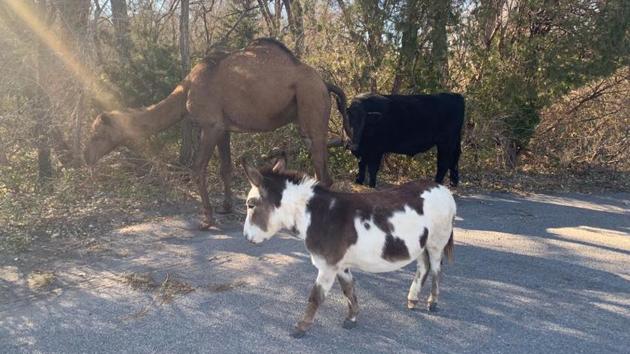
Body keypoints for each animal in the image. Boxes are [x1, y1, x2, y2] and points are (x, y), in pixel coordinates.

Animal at [82, 38, 350, 227]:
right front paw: (225, 207)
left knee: (320, 166)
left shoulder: (210, 125)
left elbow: (197, 168)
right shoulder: (224, 128)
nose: (85, 156)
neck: (186, 91)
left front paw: (208, 218)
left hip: (310, 103)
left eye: (97, 135)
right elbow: (225, 167)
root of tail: (324, 83)